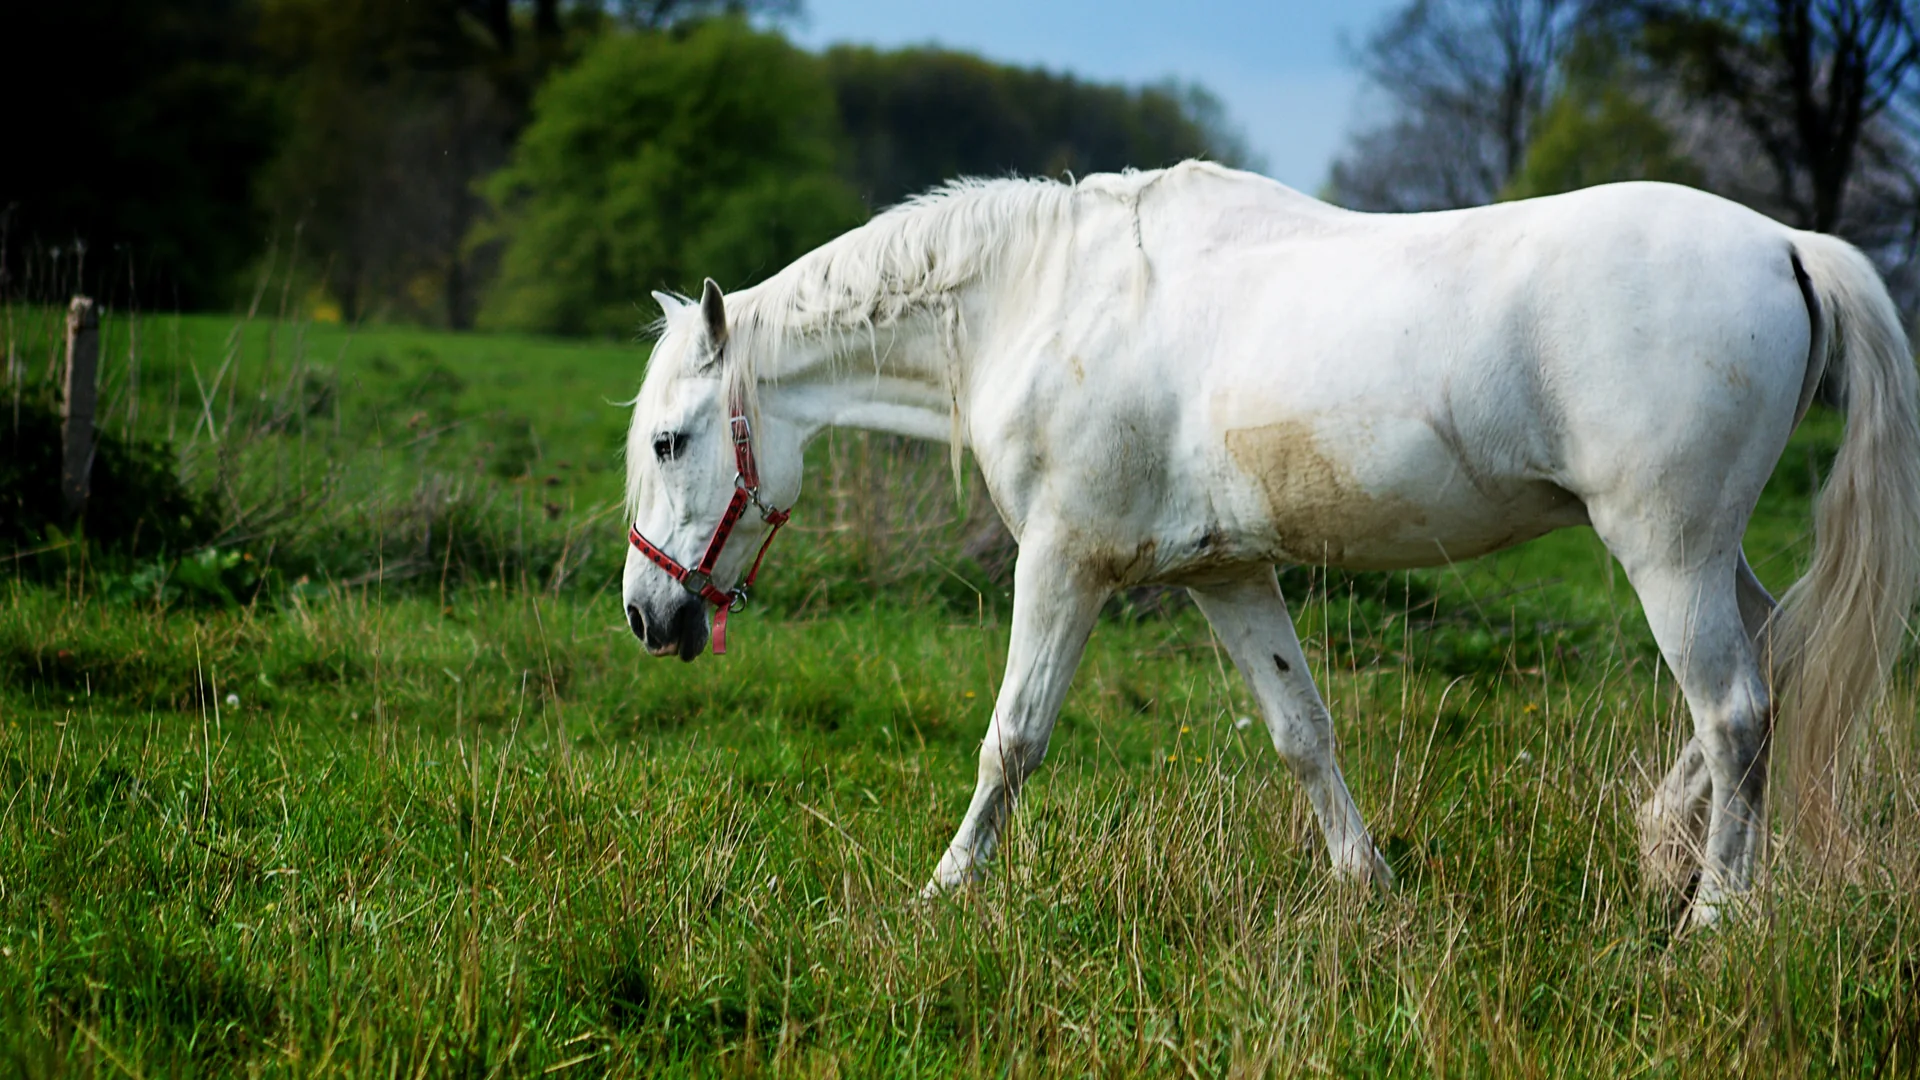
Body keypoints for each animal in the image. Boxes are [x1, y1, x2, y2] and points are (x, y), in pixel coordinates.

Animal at [620, 161, 1920, 927]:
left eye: (674, 442)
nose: (650, 614)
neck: (1046, 302)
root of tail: (1787, 243)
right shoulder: (1229, 574)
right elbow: (1304, 732)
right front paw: (1369, 887)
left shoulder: (1065, 563)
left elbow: (1012, 740)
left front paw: (944, 890)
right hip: (1704, 554)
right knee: (1780, 654)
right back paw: (1664, 849)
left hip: (1667, 550)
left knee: (1738, 707)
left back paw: (1714, 920)